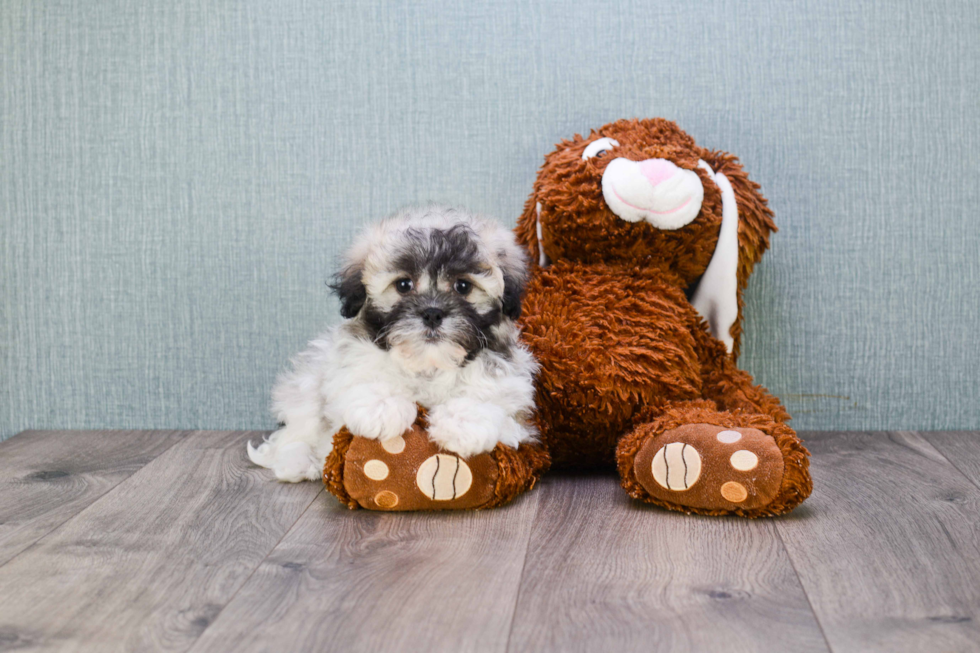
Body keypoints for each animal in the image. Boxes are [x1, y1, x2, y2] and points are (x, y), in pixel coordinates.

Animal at [245, 206, 536, 482]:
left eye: (463, 286)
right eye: (403, 284)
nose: (432, 313)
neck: (428, 364)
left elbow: (488, 389)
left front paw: (464, 421)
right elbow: (366, 372)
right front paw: (382, 407)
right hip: (307, 381)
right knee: (297, 427)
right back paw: (298, 461)